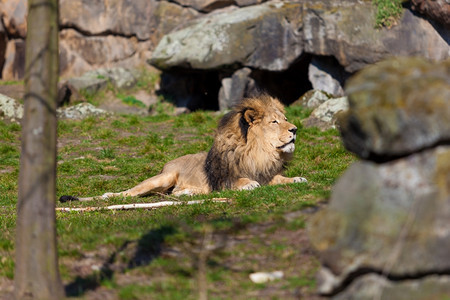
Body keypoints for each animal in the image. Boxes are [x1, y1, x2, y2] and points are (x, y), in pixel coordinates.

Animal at [59, 94, 306, 203]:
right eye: (274, 122)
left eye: (285, 119)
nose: (294, 129)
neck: (259, 152)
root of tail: (168, 163)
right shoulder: (222, 180)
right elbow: (241, 181)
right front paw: (248, 184)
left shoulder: (267, 173)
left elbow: (281, 179)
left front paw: (298, 179)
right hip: (162, 178)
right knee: (128, 192)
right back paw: (108, 195)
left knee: (176, 193)